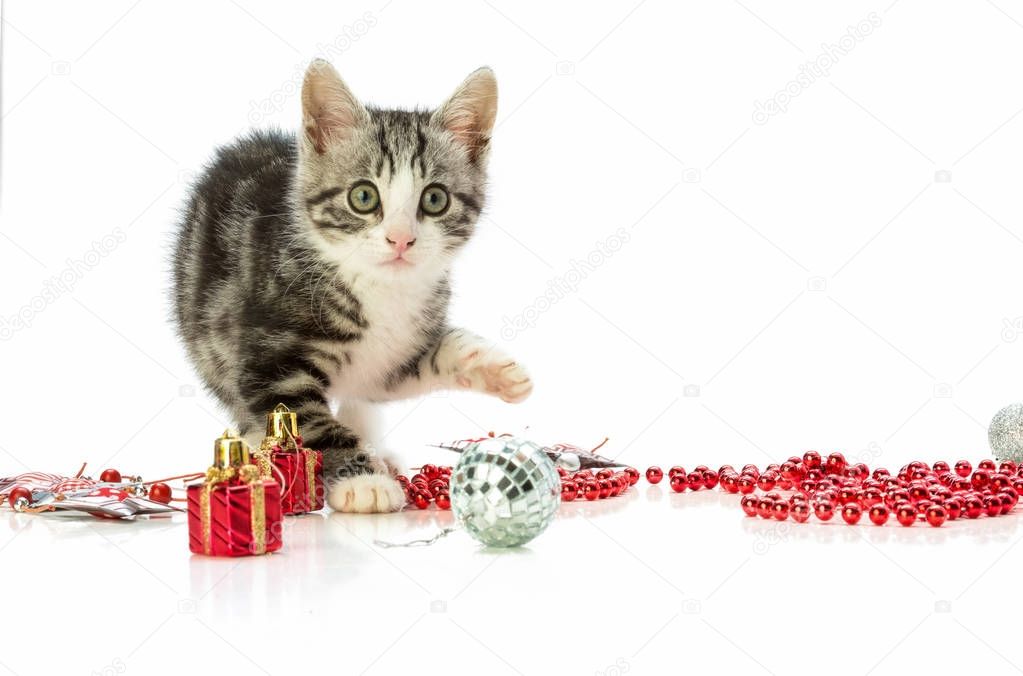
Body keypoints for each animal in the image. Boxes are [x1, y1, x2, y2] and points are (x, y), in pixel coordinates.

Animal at [171, 60, 531, 511]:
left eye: (435, 199)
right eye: (363, 197)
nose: (401, 239)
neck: (378, 291)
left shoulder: (391, 359)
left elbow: (416, 364)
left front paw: (491, 366)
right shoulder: (269, 359)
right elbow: (307, 422)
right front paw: (361, 481)